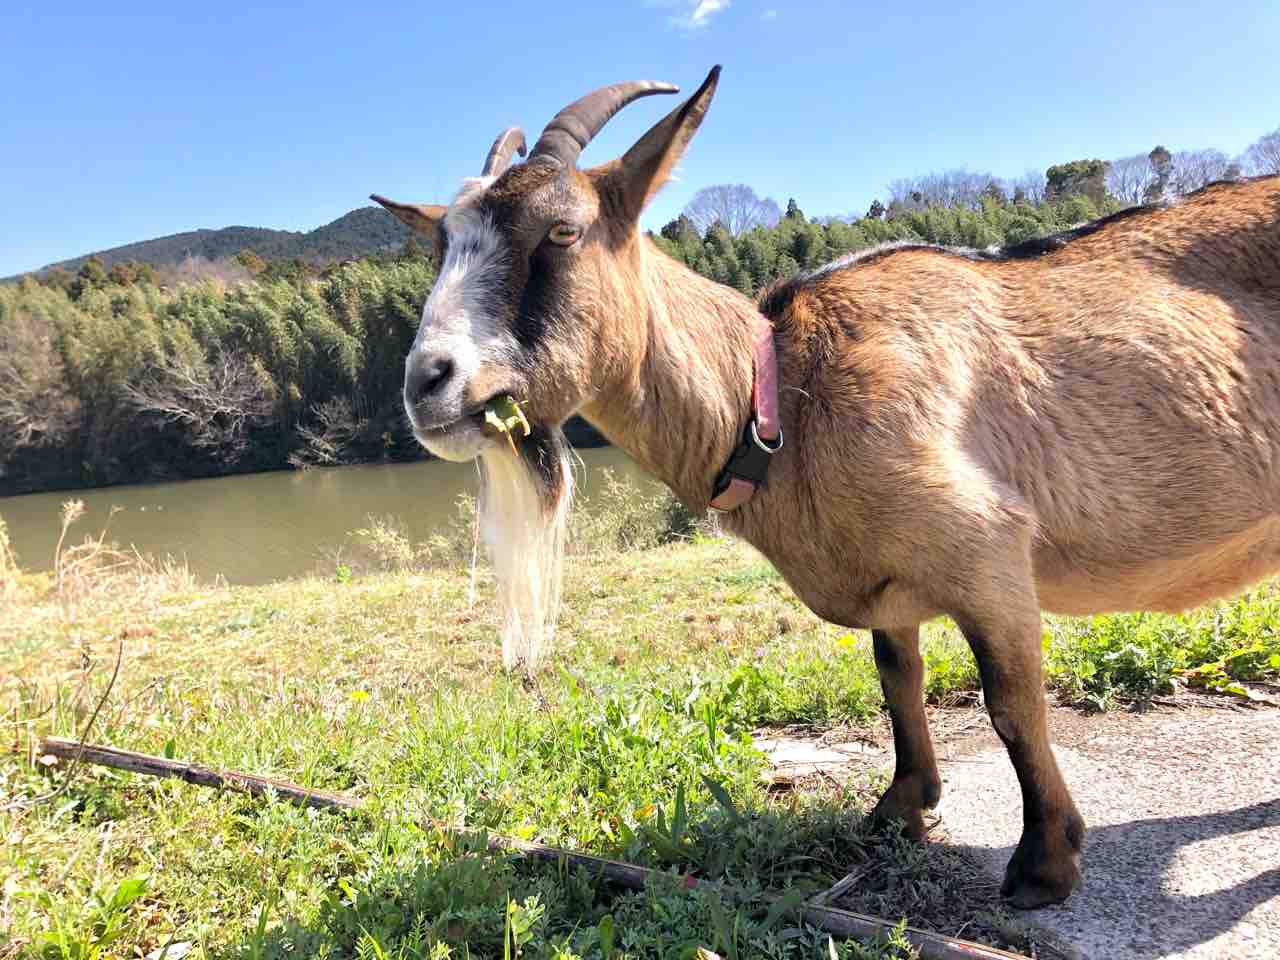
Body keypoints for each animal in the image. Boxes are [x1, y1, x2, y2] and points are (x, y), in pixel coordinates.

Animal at [373, 65, 1280, 911]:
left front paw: (1044, 864)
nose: (427, 384)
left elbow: (1011, 704)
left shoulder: (987, 547)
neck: (780, 401)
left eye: (561, 230)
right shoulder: (889, 579)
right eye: (439, 249)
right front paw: (902, 807)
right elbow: (896, 677)